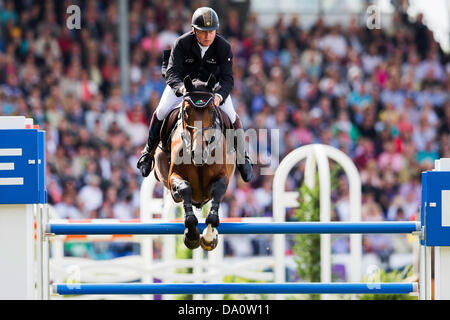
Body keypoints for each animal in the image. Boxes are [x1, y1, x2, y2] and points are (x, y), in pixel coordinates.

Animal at [153, 75, 236, 250]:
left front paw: (209, 238)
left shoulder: (223, 177)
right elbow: (185, 189)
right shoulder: (173, 177)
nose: (198, 153)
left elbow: (216, 199)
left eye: (212, 110)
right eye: (186, 111)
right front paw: (191, 236)